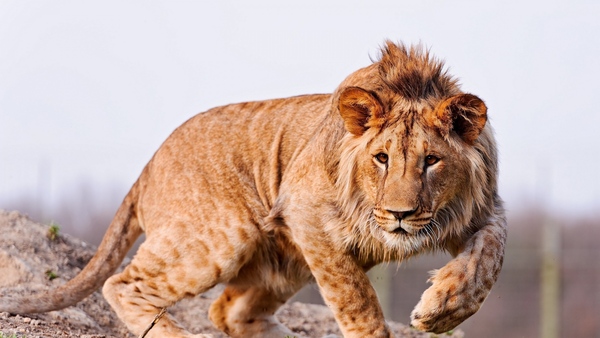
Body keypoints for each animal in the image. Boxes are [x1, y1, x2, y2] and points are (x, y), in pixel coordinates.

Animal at [0, 42, 506, 338]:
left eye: (431, 161)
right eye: (381, 159)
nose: (400, 215)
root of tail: (148, 166)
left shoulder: (482, 209)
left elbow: (489, 258)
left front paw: (443, 309)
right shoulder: (307, 215)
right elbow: (356, 299)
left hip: (283, 263)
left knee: (228, 313)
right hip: (224, 237)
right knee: (124, 284)